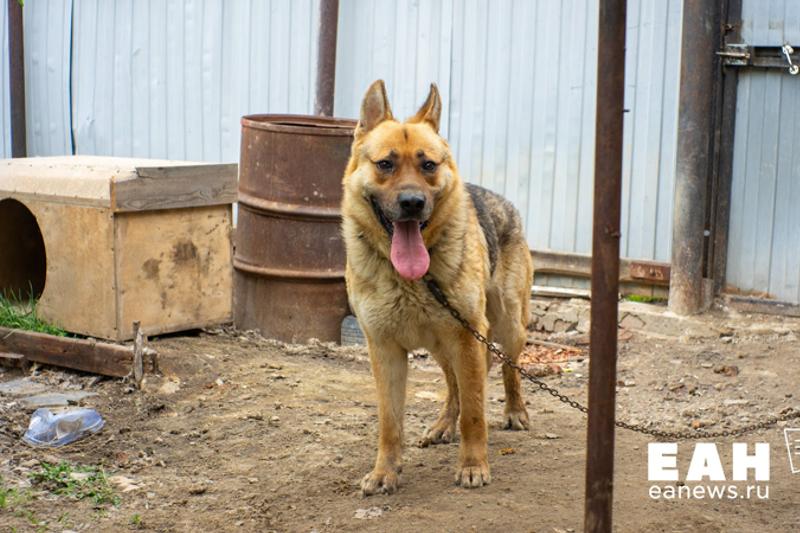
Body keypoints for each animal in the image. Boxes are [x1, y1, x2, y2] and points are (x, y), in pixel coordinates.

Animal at [341, 80, 533, 494]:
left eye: (428, 165)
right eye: (385, 164)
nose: (412, 203)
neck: (409, 280)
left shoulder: (467, 338)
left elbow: (475, 413)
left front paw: (473, 466)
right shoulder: (384, 350)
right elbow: (389, 422)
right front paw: (385, 471)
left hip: (505, 327)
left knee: (507, 369)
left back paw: (514, 411)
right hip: (447, 346)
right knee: (454, 387)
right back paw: (445, 423)